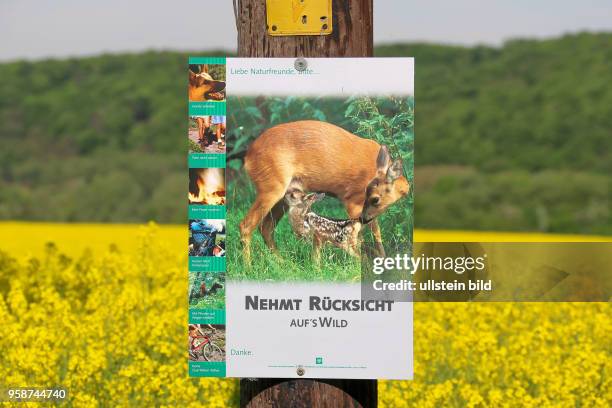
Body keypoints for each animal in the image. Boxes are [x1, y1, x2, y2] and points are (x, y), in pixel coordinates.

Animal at [240, 119, 412, 262]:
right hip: (270, 186)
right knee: (246, 225)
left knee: (266, 227)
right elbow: (360, 235)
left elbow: (376, 232)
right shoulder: (353, 200)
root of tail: (248, 157)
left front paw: (383, 261)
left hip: (284, 194)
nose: (408, 188)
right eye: (374, 198)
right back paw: (248, 267)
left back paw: (282, 263)